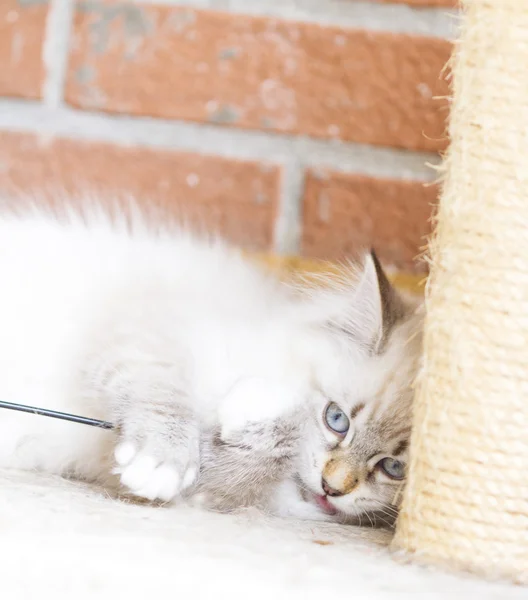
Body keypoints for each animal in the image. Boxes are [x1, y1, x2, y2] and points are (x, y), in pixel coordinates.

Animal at [0, 200, 422, 520]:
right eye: (337, 420)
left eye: (395, 468)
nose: (332, 488)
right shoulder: (150, 329)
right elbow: (166, 396)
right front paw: (162, 459)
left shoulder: (215, 492)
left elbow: (236, 469)